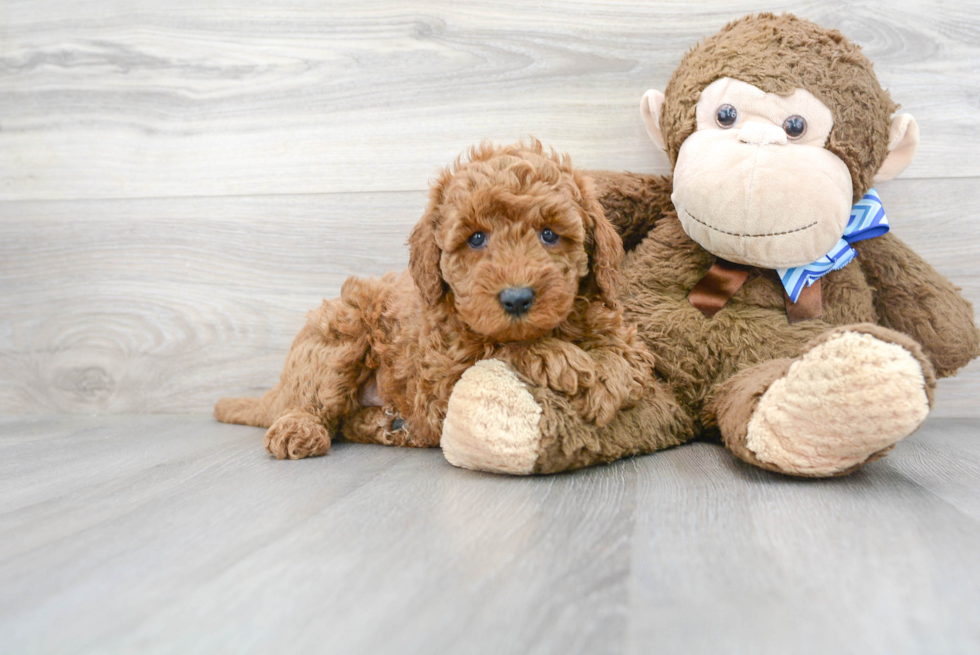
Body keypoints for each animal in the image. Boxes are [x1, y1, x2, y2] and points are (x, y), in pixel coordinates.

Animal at [218, 142, 656, 462]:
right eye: (476, 239)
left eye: (549, 234)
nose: (516, 299)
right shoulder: (441, 380)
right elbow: (501, 349)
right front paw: (564, 361)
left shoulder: (614, 325)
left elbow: (627, 355)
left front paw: (607, 378)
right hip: (339, 334)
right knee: (312, 402)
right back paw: (301, 429)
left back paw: (391, 426)